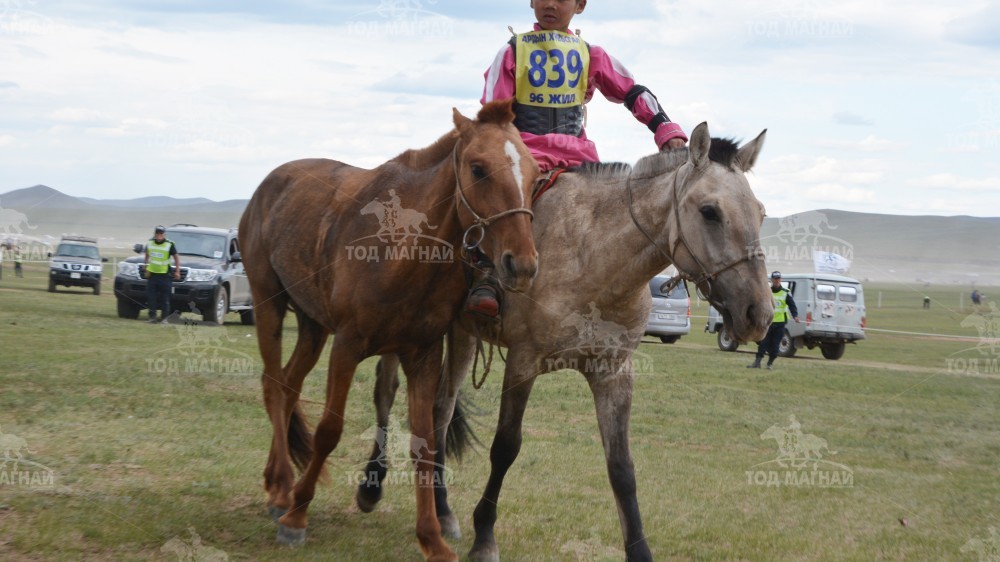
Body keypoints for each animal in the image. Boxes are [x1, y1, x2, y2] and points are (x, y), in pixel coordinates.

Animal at [238, 98, 540, 556]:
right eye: (478, 168)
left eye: (535, 172)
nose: (521, 264)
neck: (401, 252)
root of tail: (267, 187)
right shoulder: (347, 346)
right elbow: (329, 431)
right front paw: (297, 517)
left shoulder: (423, 355)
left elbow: (425, 442)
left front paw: (432, 539)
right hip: (268, 305)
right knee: (273, 385)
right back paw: (281, 491)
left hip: (312, 326)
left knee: (288, 385)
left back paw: (281, 485)